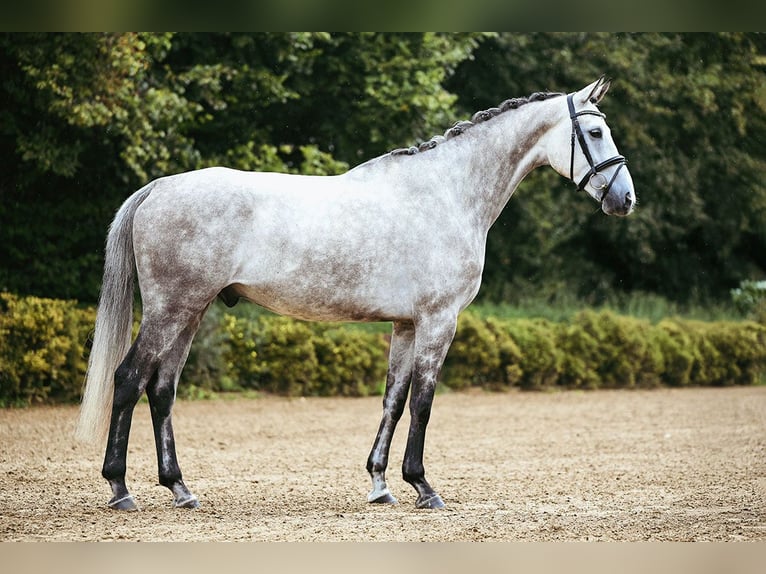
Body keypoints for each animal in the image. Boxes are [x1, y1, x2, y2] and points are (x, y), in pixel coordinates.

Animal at [75, 76, 635, 511]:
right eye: (594, 131)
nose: (625, 199)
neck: (447, 194)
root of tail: (159, 187)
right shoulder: (438, 321)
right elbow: (423, 402)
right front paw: (424, 487)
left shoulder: (406, 324)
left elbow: (393, 400)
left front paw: (381, 484)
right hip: (171, 310)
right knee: (129, 380)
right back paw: (120, 489)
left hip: (189, 314)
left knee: (161, 390)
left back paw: (180, 489)